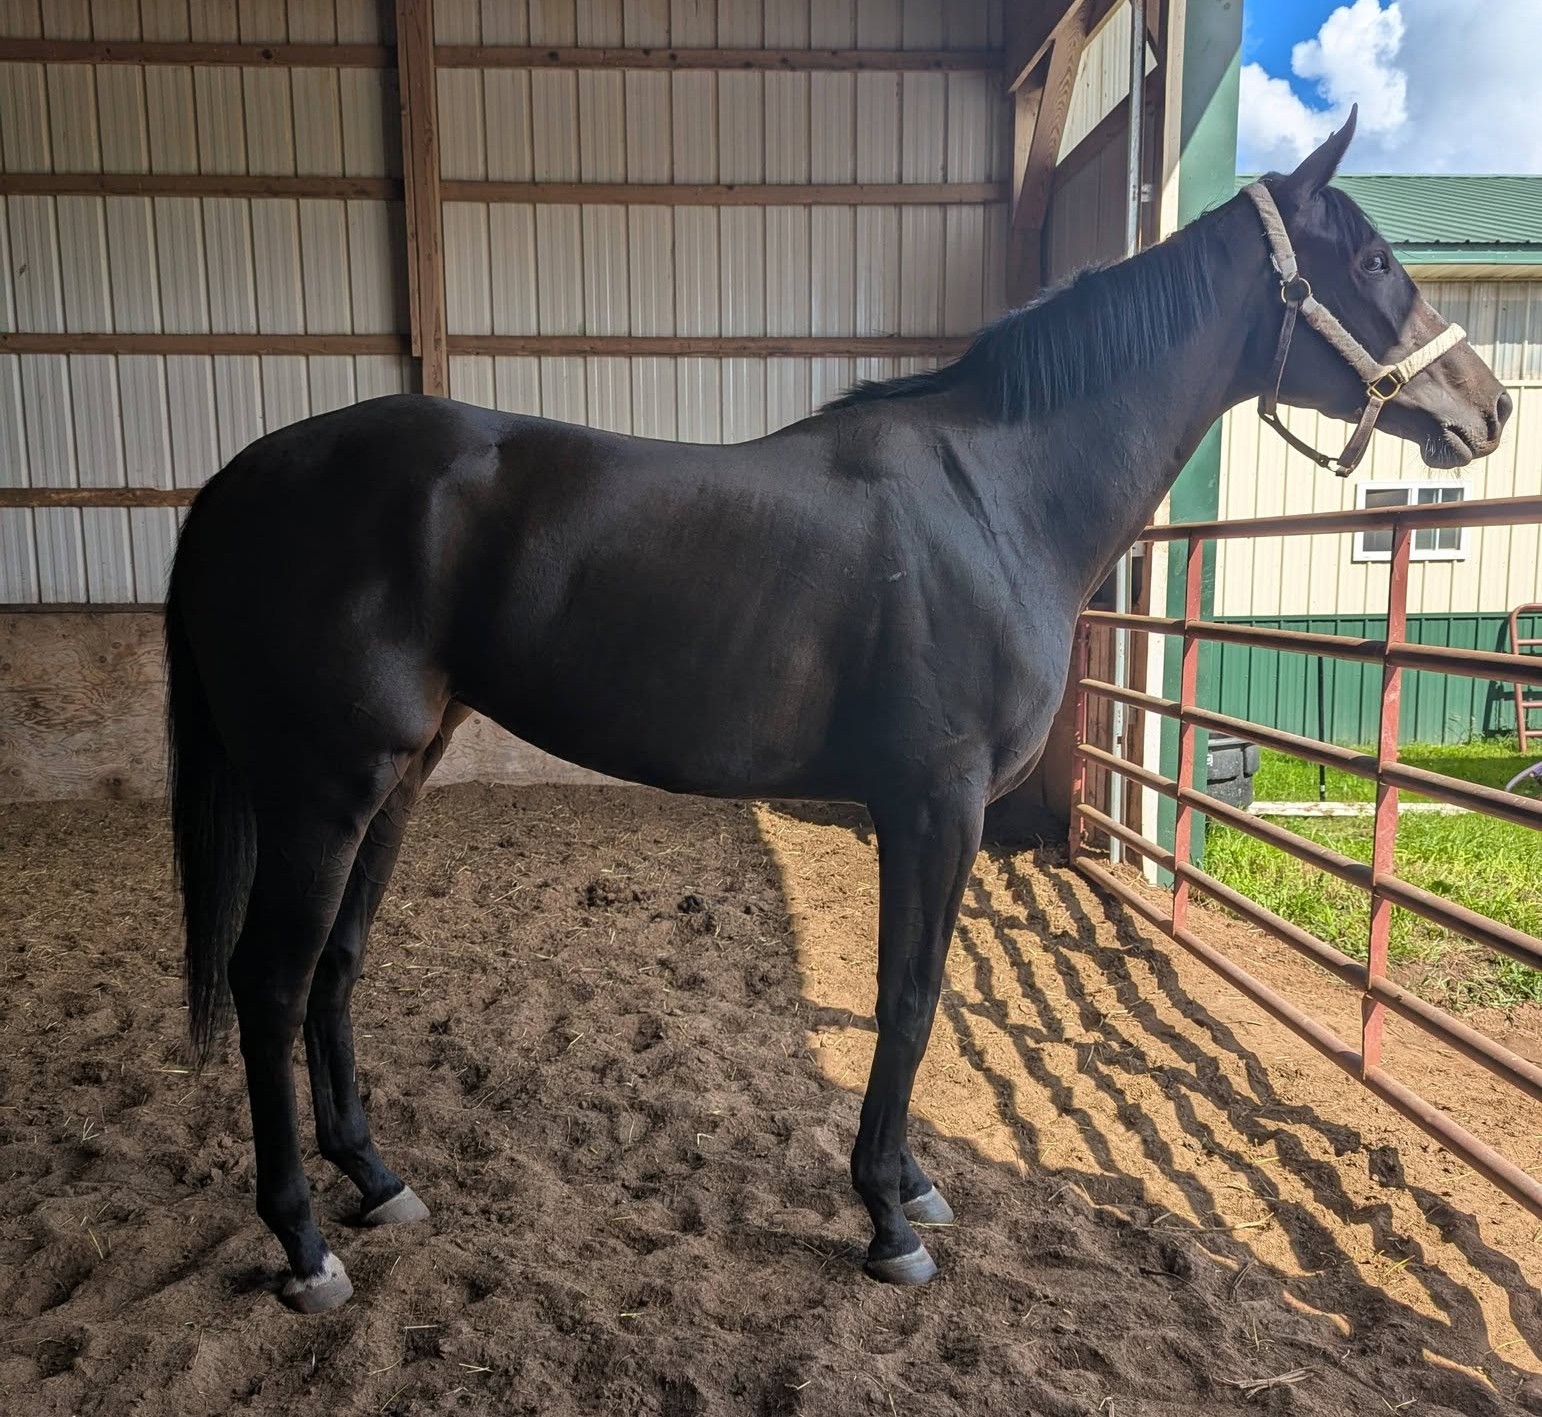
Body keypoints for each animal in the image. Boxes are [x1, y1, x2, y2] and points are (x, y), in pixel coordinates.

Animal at [164, 110, 1508, 1312]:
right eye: (1372, 262)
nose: (1487, 409)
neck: (996, 496)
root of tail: (236, 479)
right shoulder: (933, 803)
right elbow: (907, 999)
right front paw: (885, 1220)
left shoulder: (940, 813)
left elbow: (919, 991)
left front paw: (910, 1185)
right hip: (323, 788)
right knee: (271, 981)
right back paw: (302, 1245)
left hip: (395, 778)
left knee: (335, 969)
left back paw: (378, 1181)